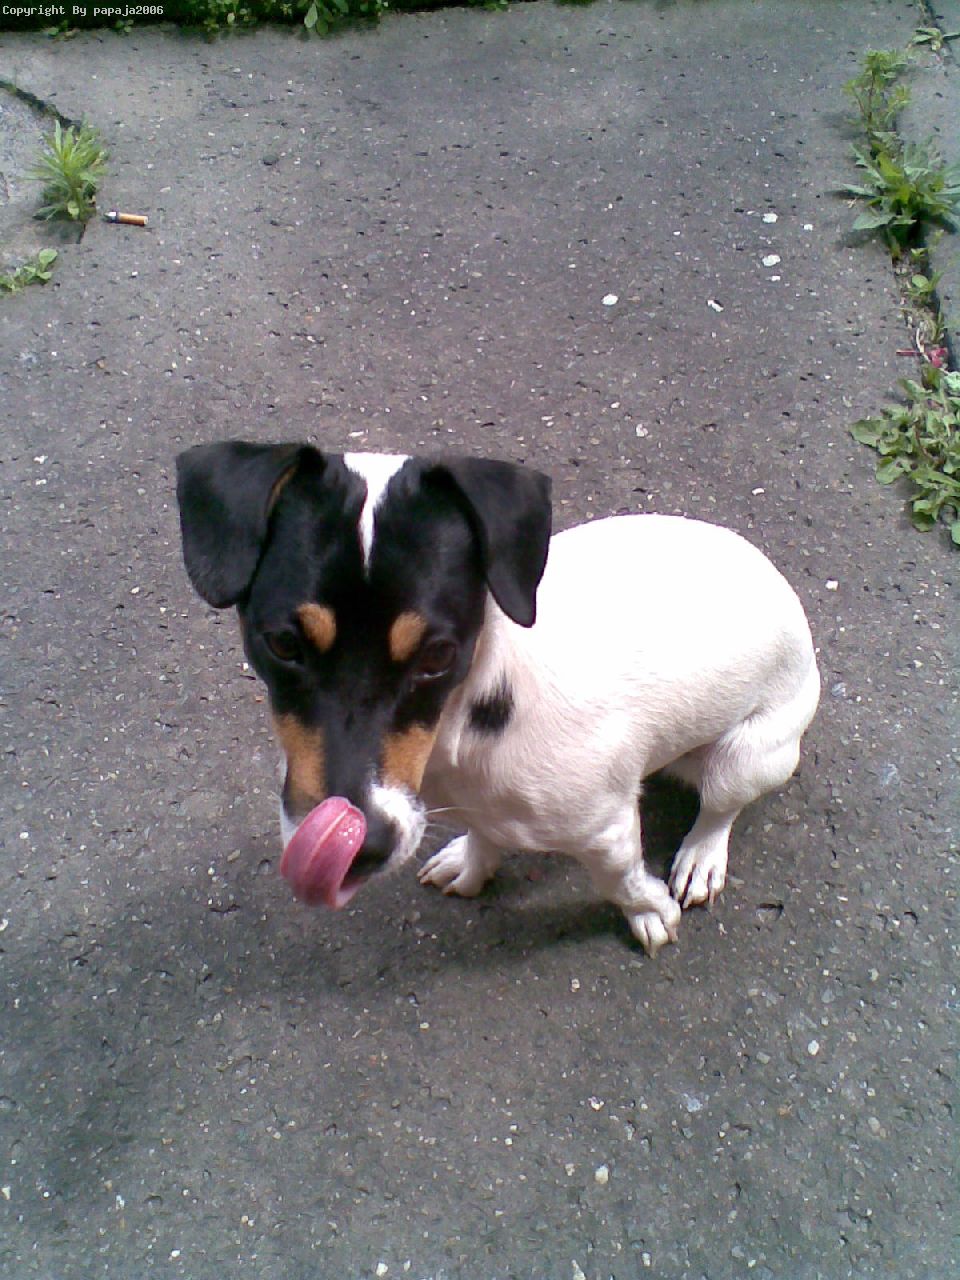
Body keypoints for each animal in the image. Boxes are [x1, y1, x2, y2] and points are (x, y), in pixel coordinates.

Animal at [176, 441, 819, 953]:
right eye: (283, 643)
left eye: (438, 655)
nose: (361, 850)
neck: (463, 726)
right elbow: (485, 835)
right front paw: (471, 865)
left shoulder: (607, 829)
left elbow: (619, 880)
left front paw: (647, 911)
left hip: (750, 756)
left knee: (720, 807)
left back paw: (701, 857)